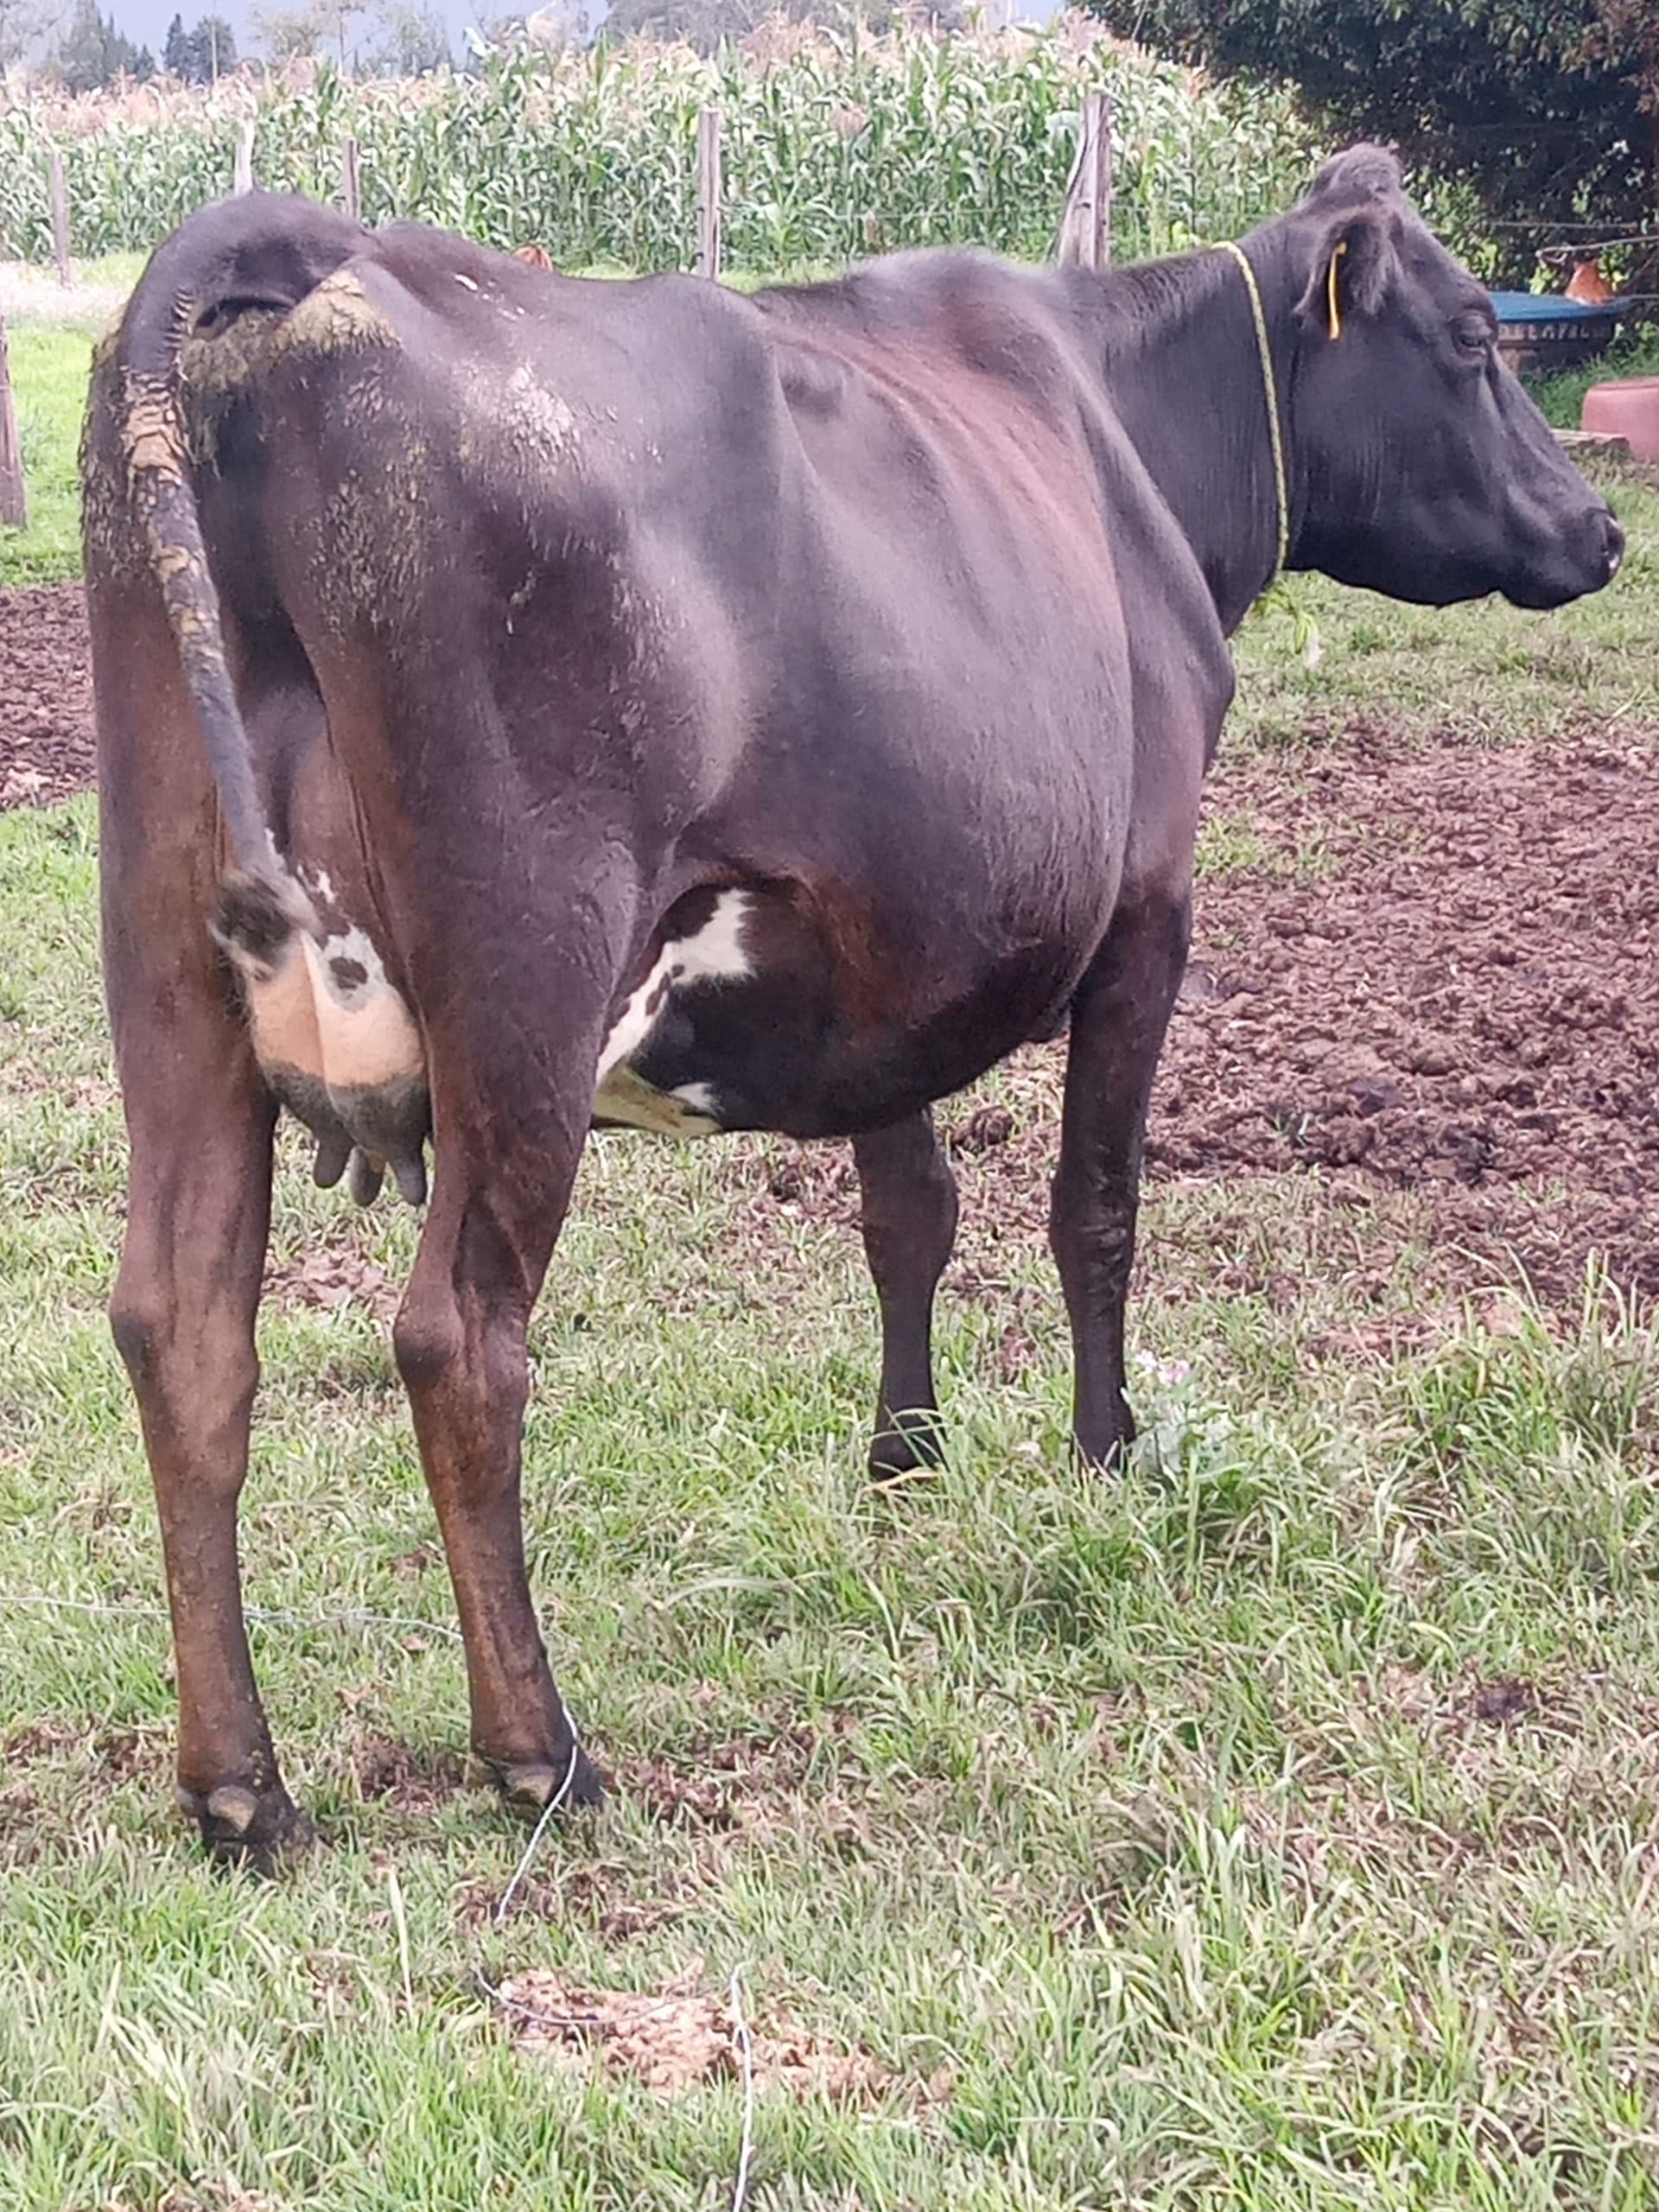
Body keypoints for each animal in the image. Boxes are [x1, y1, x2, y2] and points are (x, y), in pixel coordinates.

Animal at [81, 147, 1621, 1864]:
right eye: (1475, 336)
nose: (1599, 527)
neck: (1128, 432)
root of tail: (320, 260)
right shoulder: (1147, 907)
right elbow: (1096, 1205)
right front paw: (1107, 1452)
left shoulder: (896, 954)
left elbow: (911, 1213)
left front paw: (906, 1461)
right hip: (528, 978)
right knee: (459, 1339)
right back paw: (540, 1754)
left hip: (169, 968)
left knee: (181, 1328)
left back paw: (239, 1787)